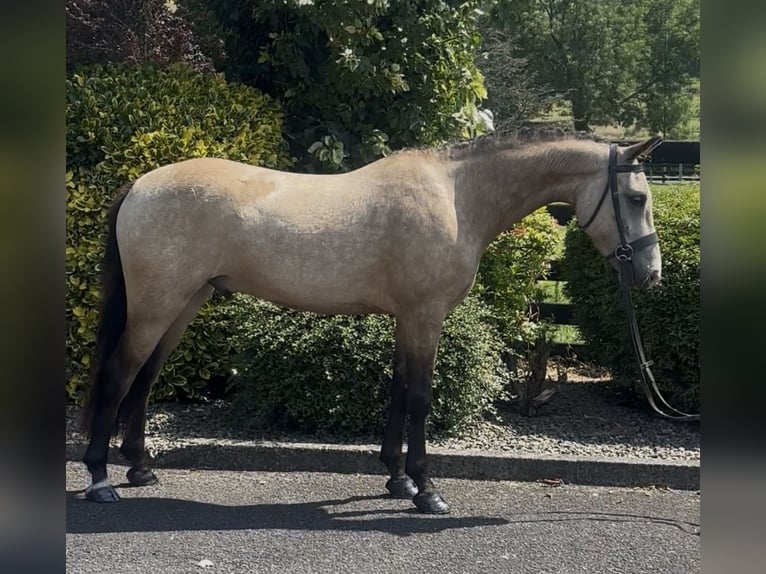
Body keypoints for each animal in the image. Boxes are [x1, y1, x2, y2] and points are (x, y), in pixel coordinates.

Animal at [80, 131, 663, 513]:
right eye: (637, 197)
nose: (651, 274)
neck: (457, 196)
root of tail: (139, 185)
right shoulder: (425, 316)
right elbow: (420, 398)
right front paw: (427, 491)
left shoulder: (407, 319)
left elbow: (399, 392)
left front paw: (397, 480)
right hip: (158, 305)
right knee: (117, 376)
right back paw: (100, 479)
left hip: (184, 303)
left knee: (146, 377)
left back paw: (140, 467)